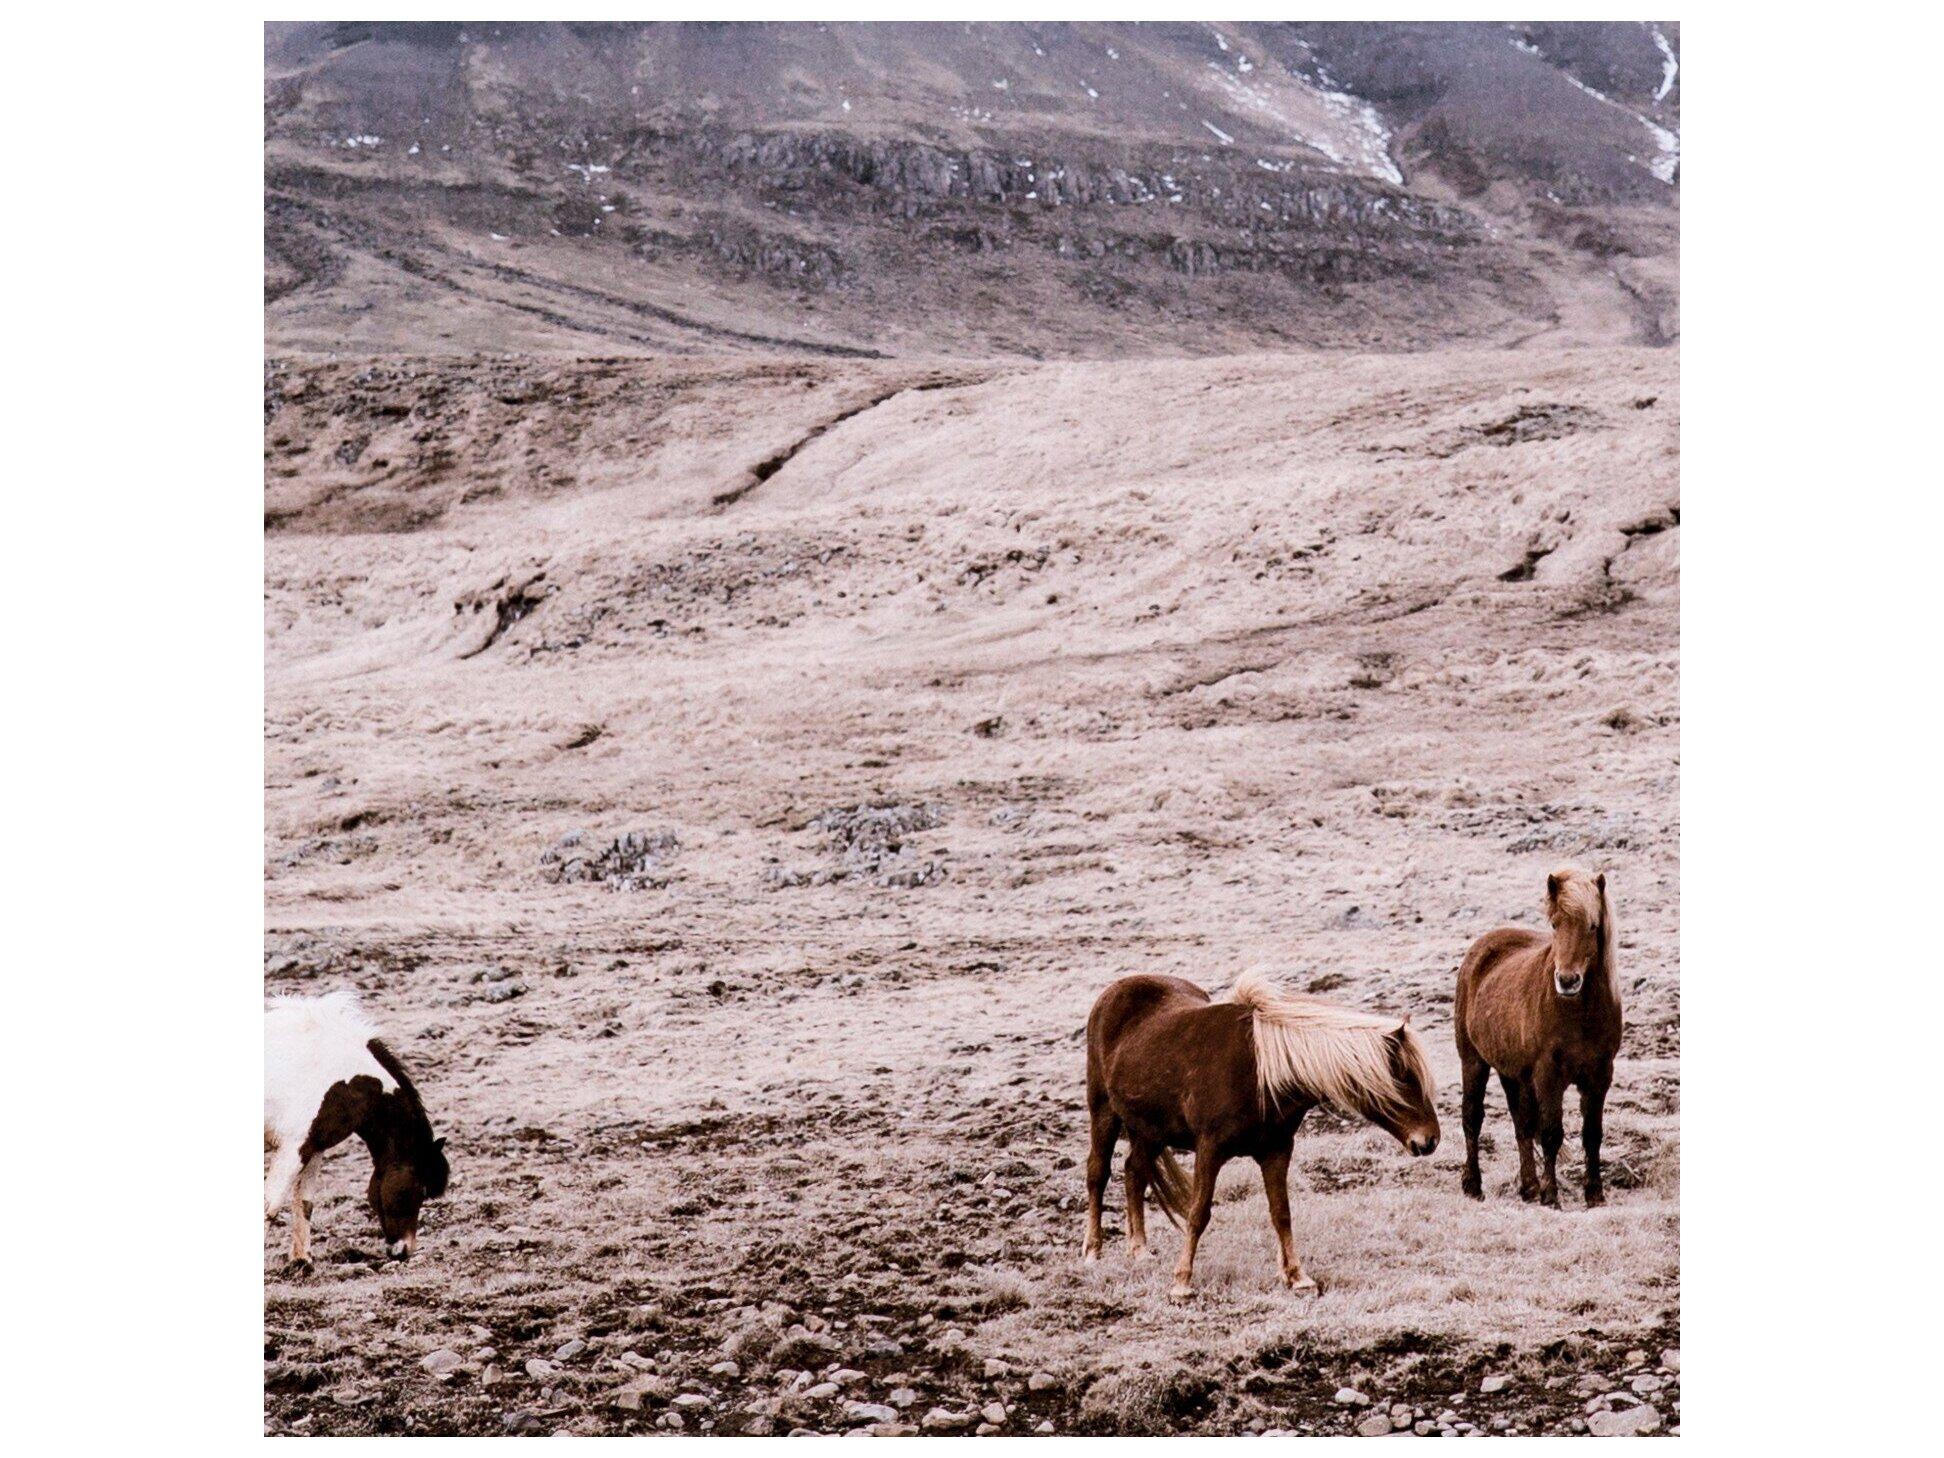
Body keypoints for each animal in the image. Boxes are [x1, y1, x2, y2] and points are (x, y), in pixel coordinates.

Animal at [264, 990, 449, 1269]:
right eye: (421, 1189)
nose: (404, 1250)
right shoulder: (293, 1148)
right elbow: (270, 1205)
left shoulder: (313, 1148)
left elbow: (304, 1202)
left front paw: (302, 1261)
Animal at [1083, 969, 1439, 1300]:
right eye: (1405, 1078)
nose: (1430, 1140)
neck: (1261, 1073)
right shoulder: (1209, 1150)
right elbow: (1198, 1213)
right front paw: (1182, 1282)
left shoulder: (1276, 1151)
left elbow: (1281, 1213)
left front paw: (1298, 1277)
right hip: (1104, 1112)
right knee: (1099, 1174)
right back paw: (1093, 1250)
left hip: (1150, 1131)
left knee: (1134, 1173)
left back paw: (1139, 1250)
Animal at [1454, 865, 1621, 1208]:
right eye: (1555, 924)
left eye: (1593, 926)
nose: (1567, 981)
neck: (1579, 1013)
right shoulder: (1548, 1075)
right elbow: (1551, 1134)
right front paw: (1552, 1196)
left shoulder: (1600, 1075)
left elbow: (1592, 1134)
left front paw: (1594, 1194)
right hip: (1473, 1061)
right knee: (1472, 1118)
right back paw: (1474, 1185)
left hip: (1513, 1073)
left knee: (1521, 1122)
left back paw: (1529, 1187)